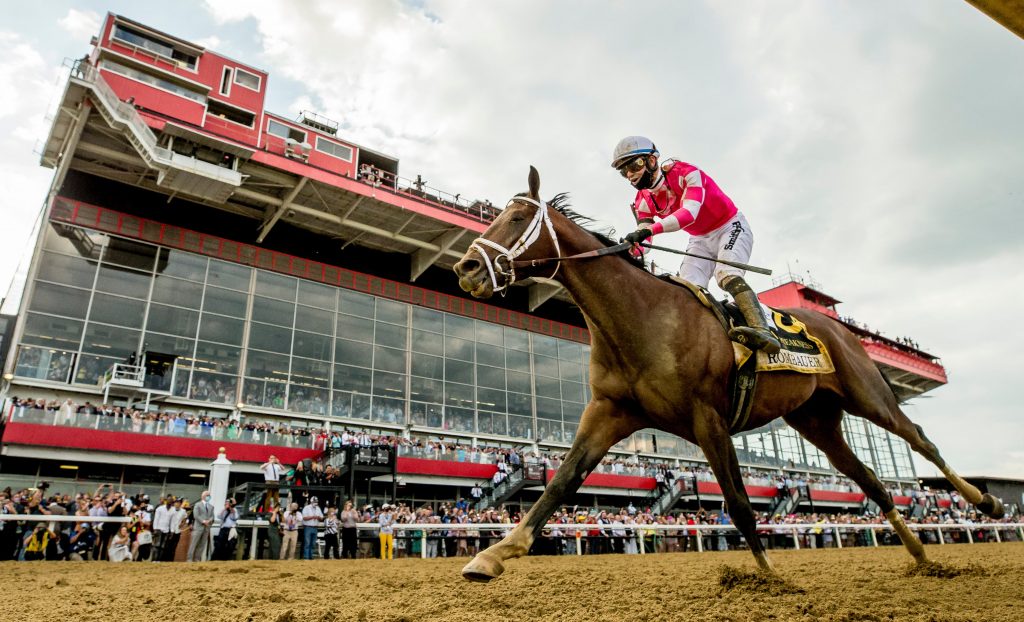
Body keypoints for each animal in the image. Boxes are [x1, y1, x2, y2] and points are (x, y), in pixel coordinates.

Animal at [452, 167, 1003, 582]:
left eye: (516, 216)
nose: (466, 269)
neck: (641, 318)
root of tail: (840, 327)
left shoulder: (708, 416)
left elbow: (738, 502)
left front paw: (770, 577)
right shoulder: (610, 411)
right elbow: (560, 484)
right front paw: (492, 555)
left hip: (867, 395)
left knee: (920, 439)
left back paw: (988, 503)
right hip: (816, 420)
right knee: (872, 481)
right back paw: (921, 555)